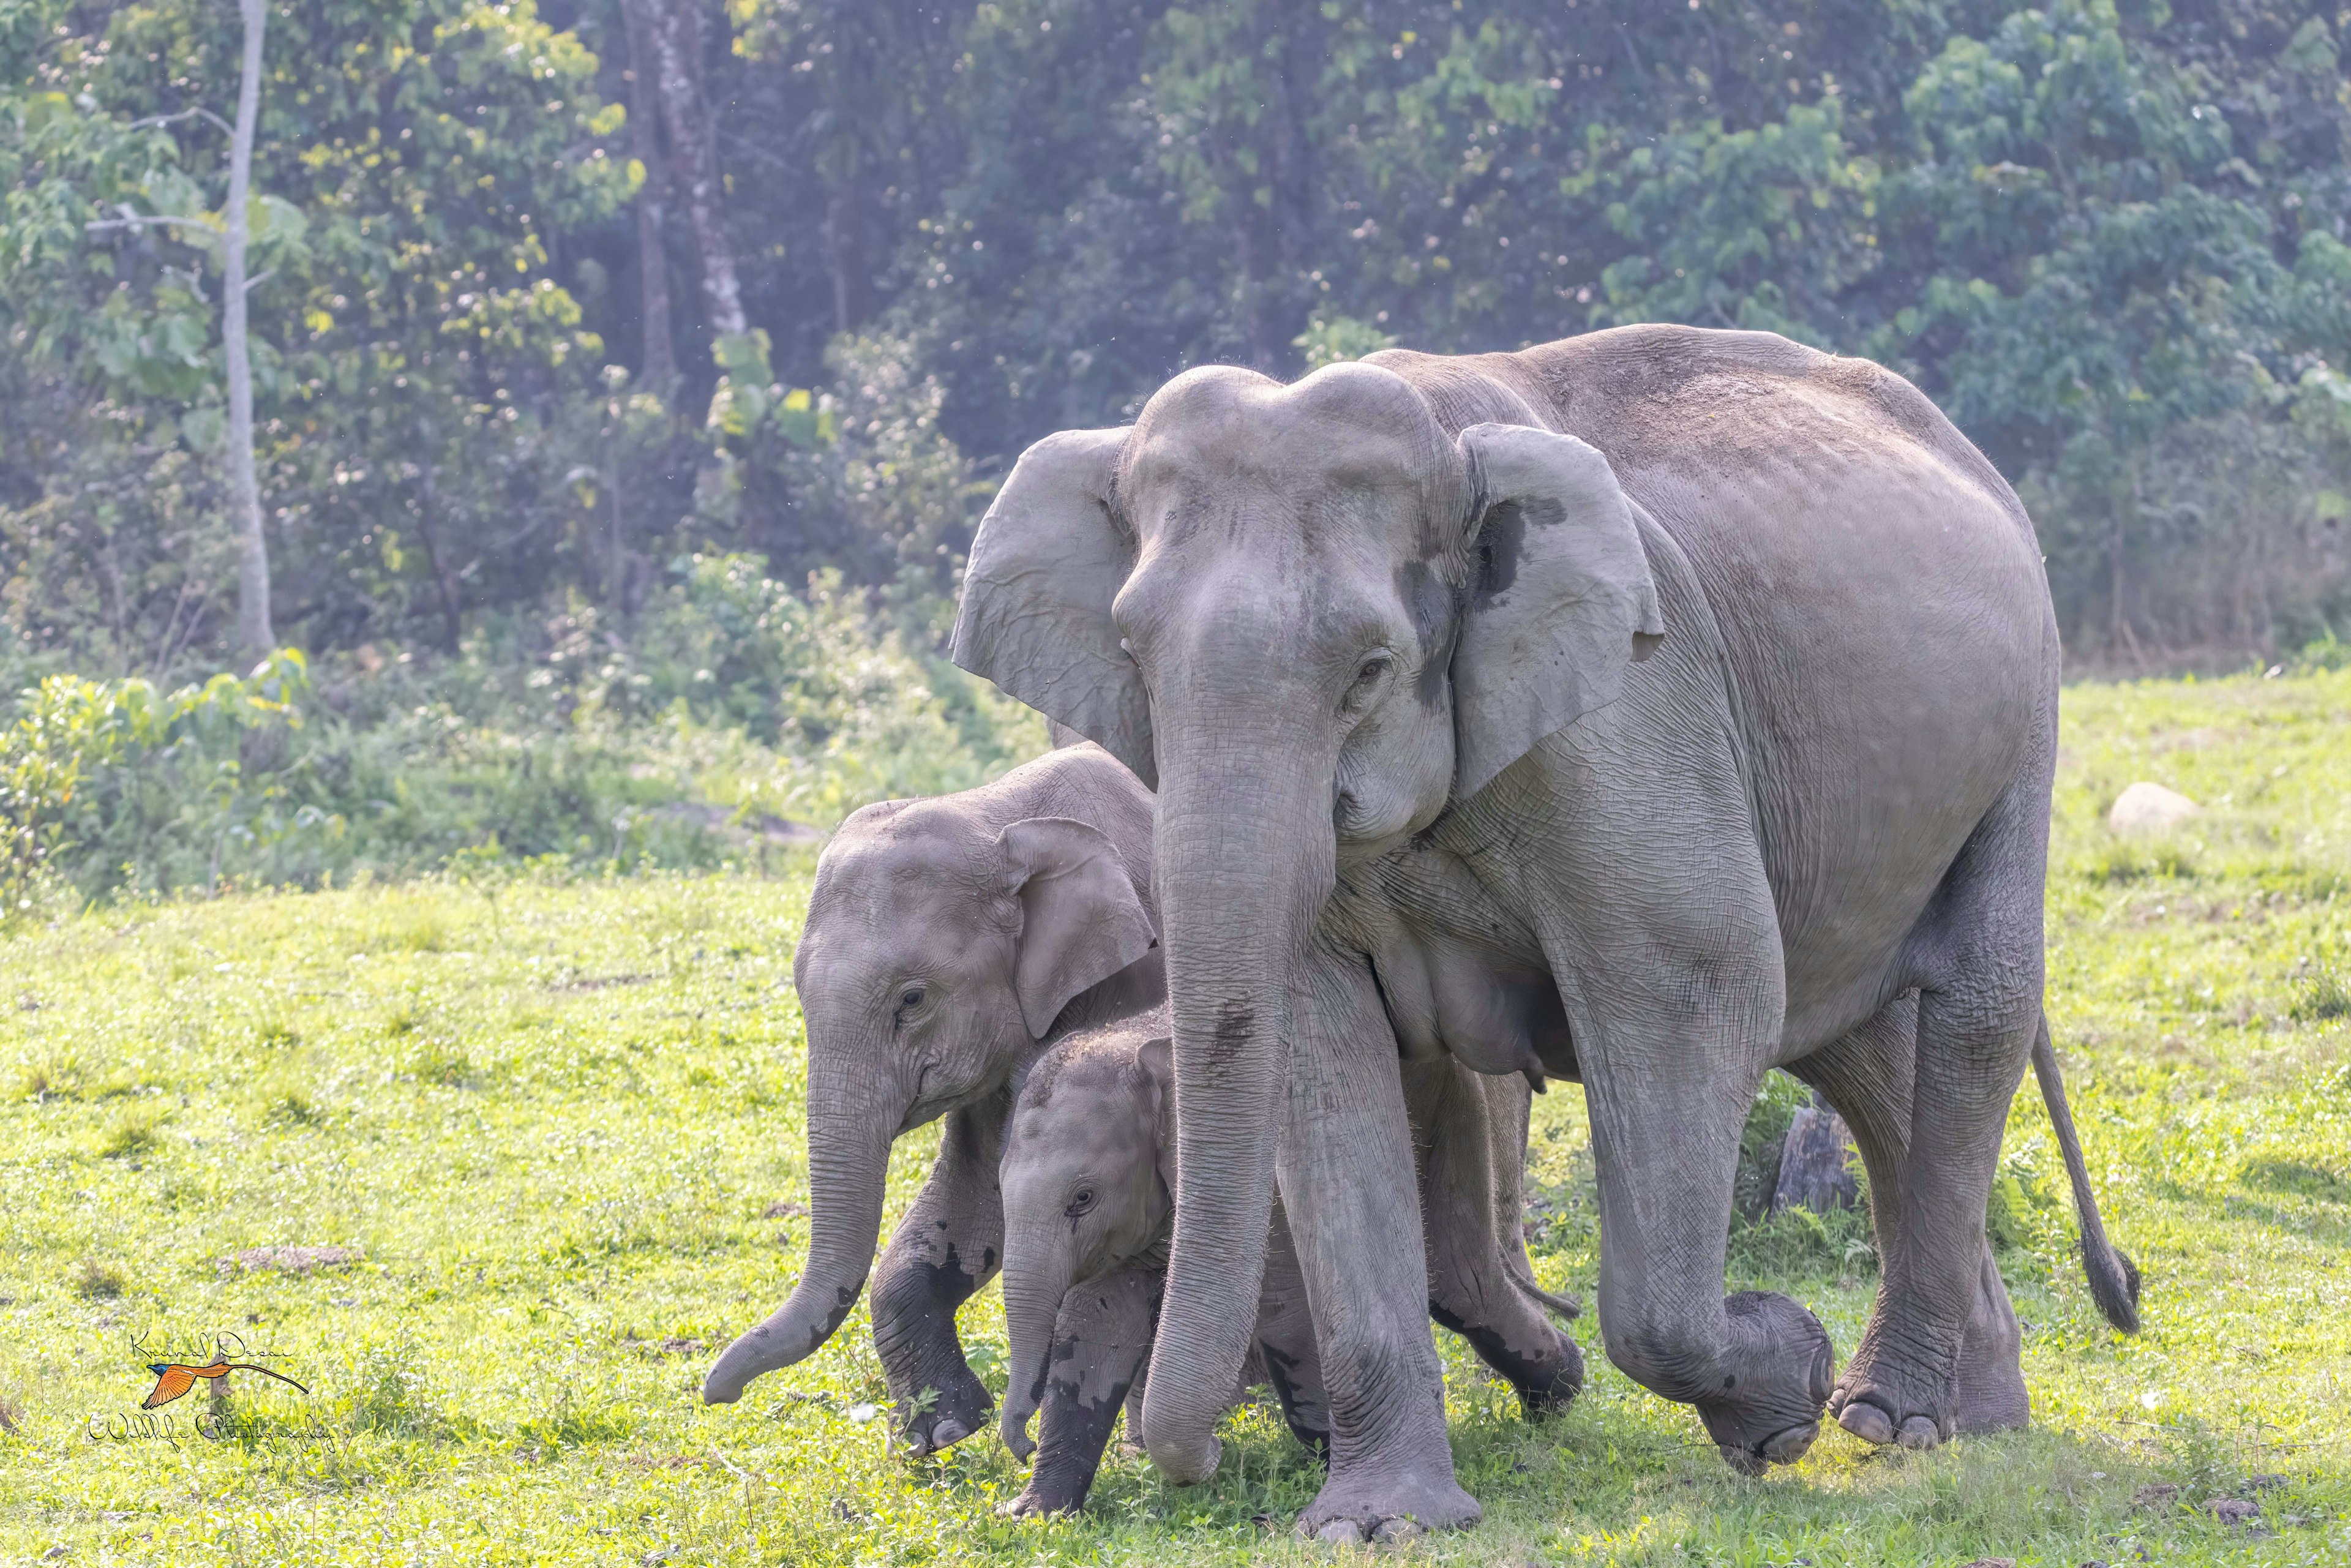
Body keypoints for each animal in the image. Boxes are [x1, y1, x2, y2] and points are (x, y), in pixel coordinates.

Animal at [992, 1011, 1580, 1514]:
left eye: (1083, 1197)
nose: (1022, 1444)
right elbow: (1095, 1328)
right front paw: (1034, 1514)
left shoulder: (1266, 1186)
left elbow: (1285, 1312)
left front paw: (1331, 1463)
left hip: (1455, 1114)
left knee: (1461, 1285)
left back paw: (1562, 1395)